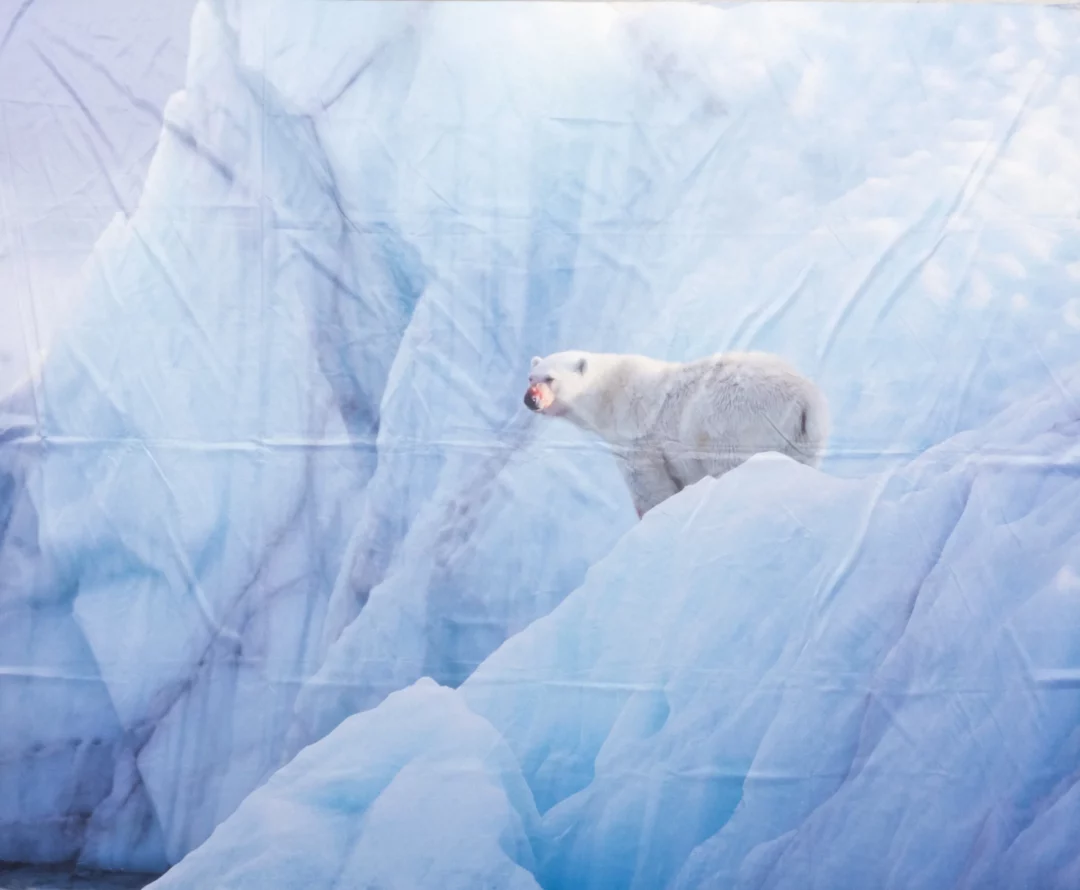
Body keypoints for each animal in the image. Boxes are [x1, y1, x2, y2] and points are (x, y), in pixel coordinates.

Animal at [522, 347, 825, 514]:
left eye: (550, 378)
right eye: (530, 378)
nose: (530, 399)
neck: (609, 393)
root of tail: (804, 398)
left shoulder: (636, 437)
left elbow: (649, 486)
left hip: (737, 422)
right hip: (806, 435)